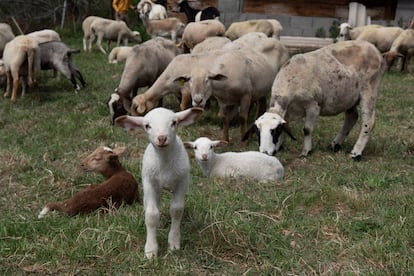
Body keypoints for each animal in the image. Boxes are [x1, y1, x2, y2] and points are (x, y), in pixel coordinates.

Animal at [114, 106, 205, 260]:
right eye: (147, 125)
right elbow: (151, 215)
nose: (162, 138)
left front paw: (173, 243)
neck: (164, 161)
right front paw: (151, 250)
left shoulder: (182, 181)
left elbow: (176, 210)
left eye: (174, 122)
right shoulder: (149, 182)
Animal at [244, 40, 386, 161]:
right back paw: (335, 145)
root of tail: (374, 48)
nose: (264, 153)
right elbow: (287, 127)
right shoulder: (287, 112)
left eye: (275, 131)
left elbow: (307, 130)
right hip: (349, 96)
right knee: (352, 117)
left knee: (368, 122)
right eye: (257, 131)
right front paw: (278, 147)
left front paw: (306, 151)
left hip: (369, 90)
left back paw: (356, 153)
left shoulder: (313, 105)